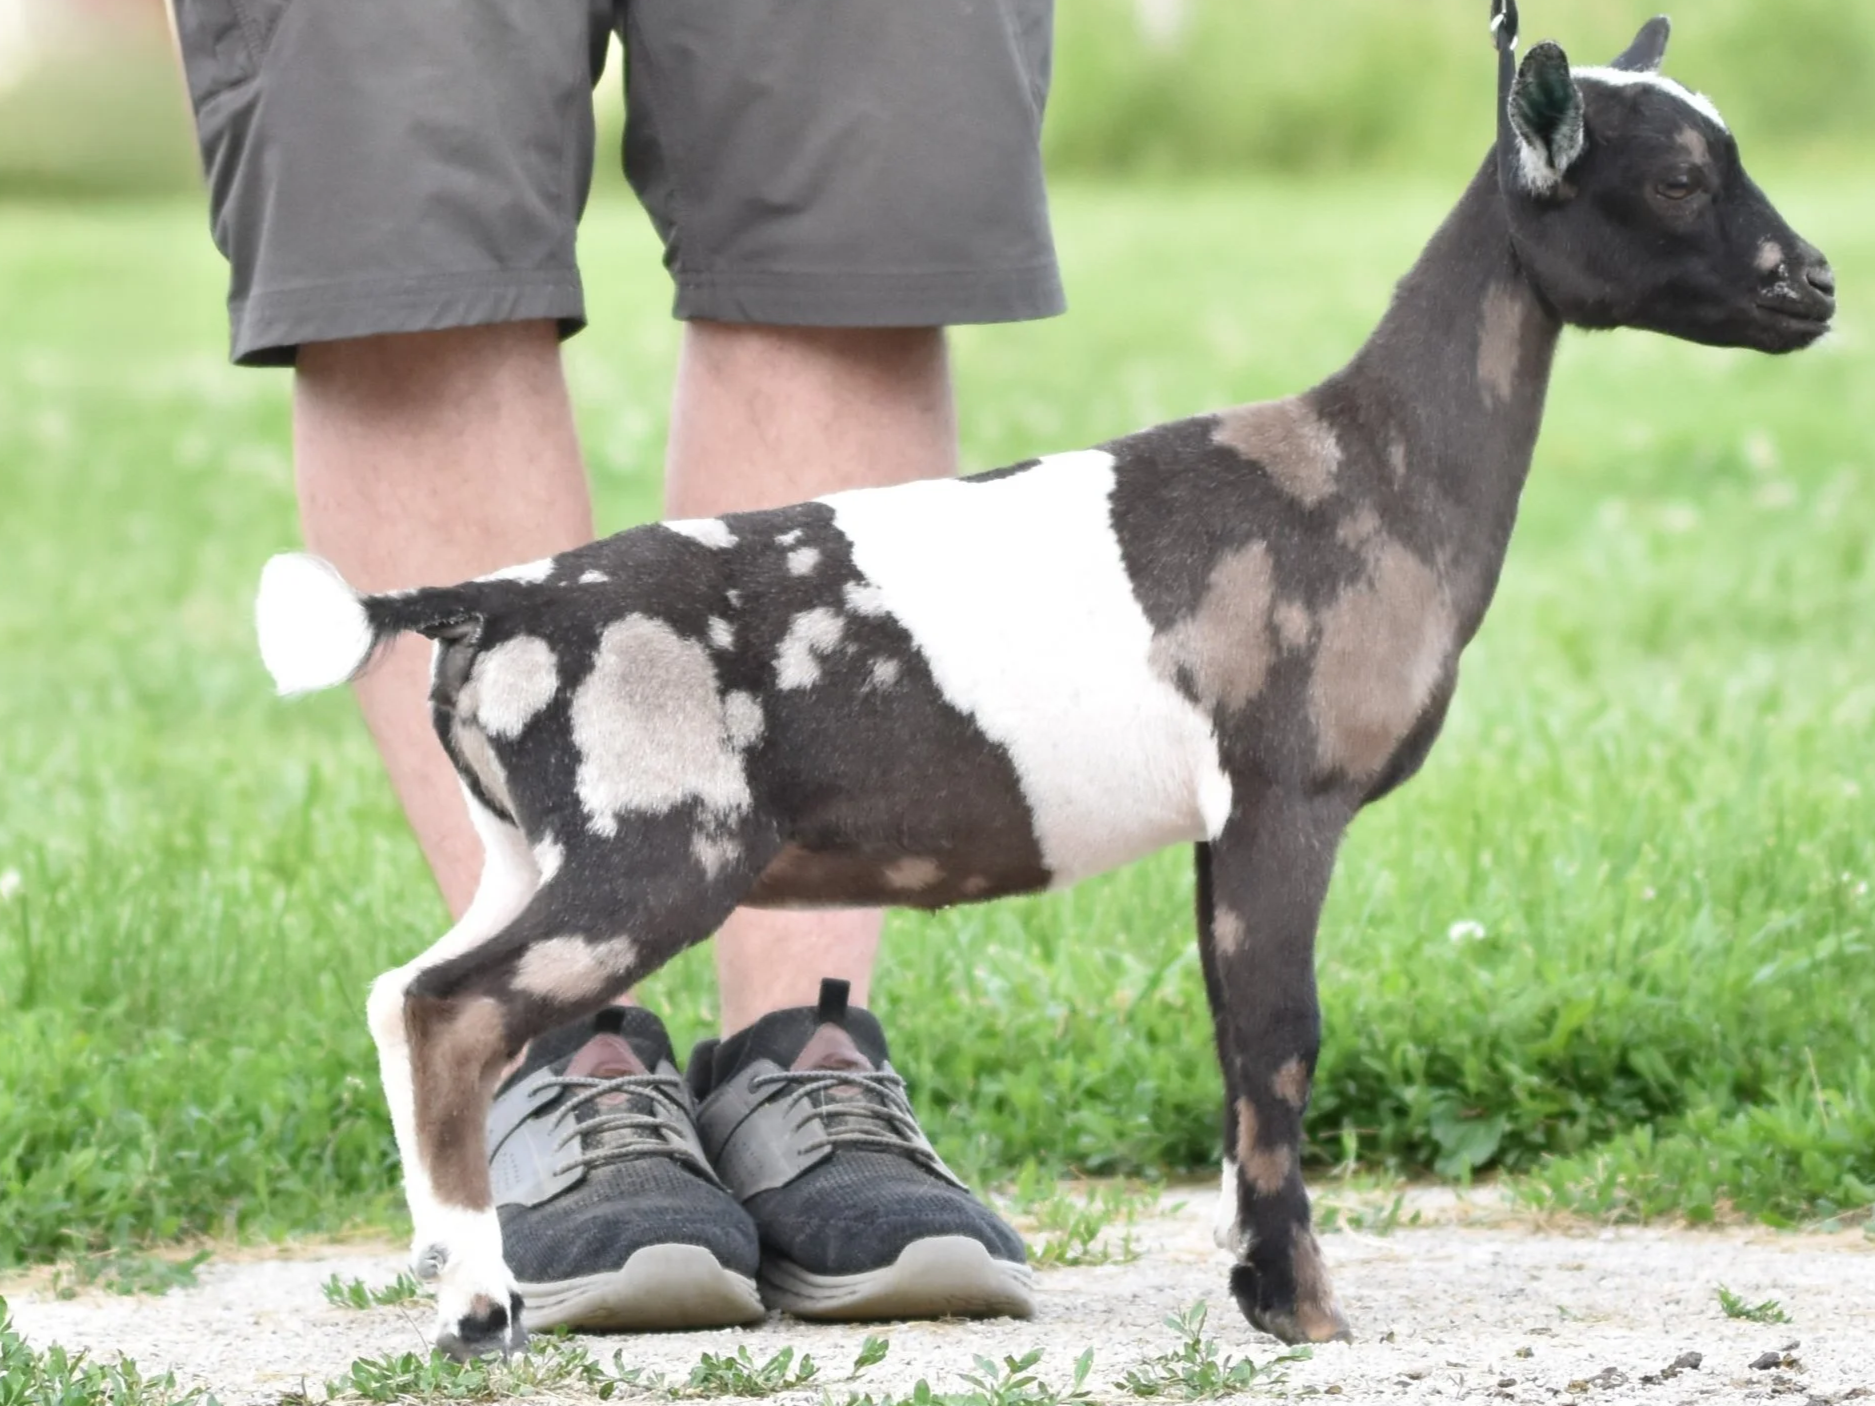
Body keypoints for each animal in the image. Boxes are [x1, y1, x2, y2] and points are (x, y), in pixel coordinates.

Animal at [254, 0, 1833, 1358]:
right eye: (1681, 179)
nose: (1814, 285)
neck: (1365, 468)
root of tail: (489, 597)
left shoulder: (1218, 830)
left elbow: (1229, 1038)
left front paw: (1249, 1272)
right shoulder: (1286, 797)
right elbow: (1283, 1042)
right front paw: (1297, 1306)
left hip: (527, 847)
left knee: (402, 992)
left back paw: (445, 1263)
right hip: (654, 845)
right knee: (455, 1011)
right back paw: (478, 1307)